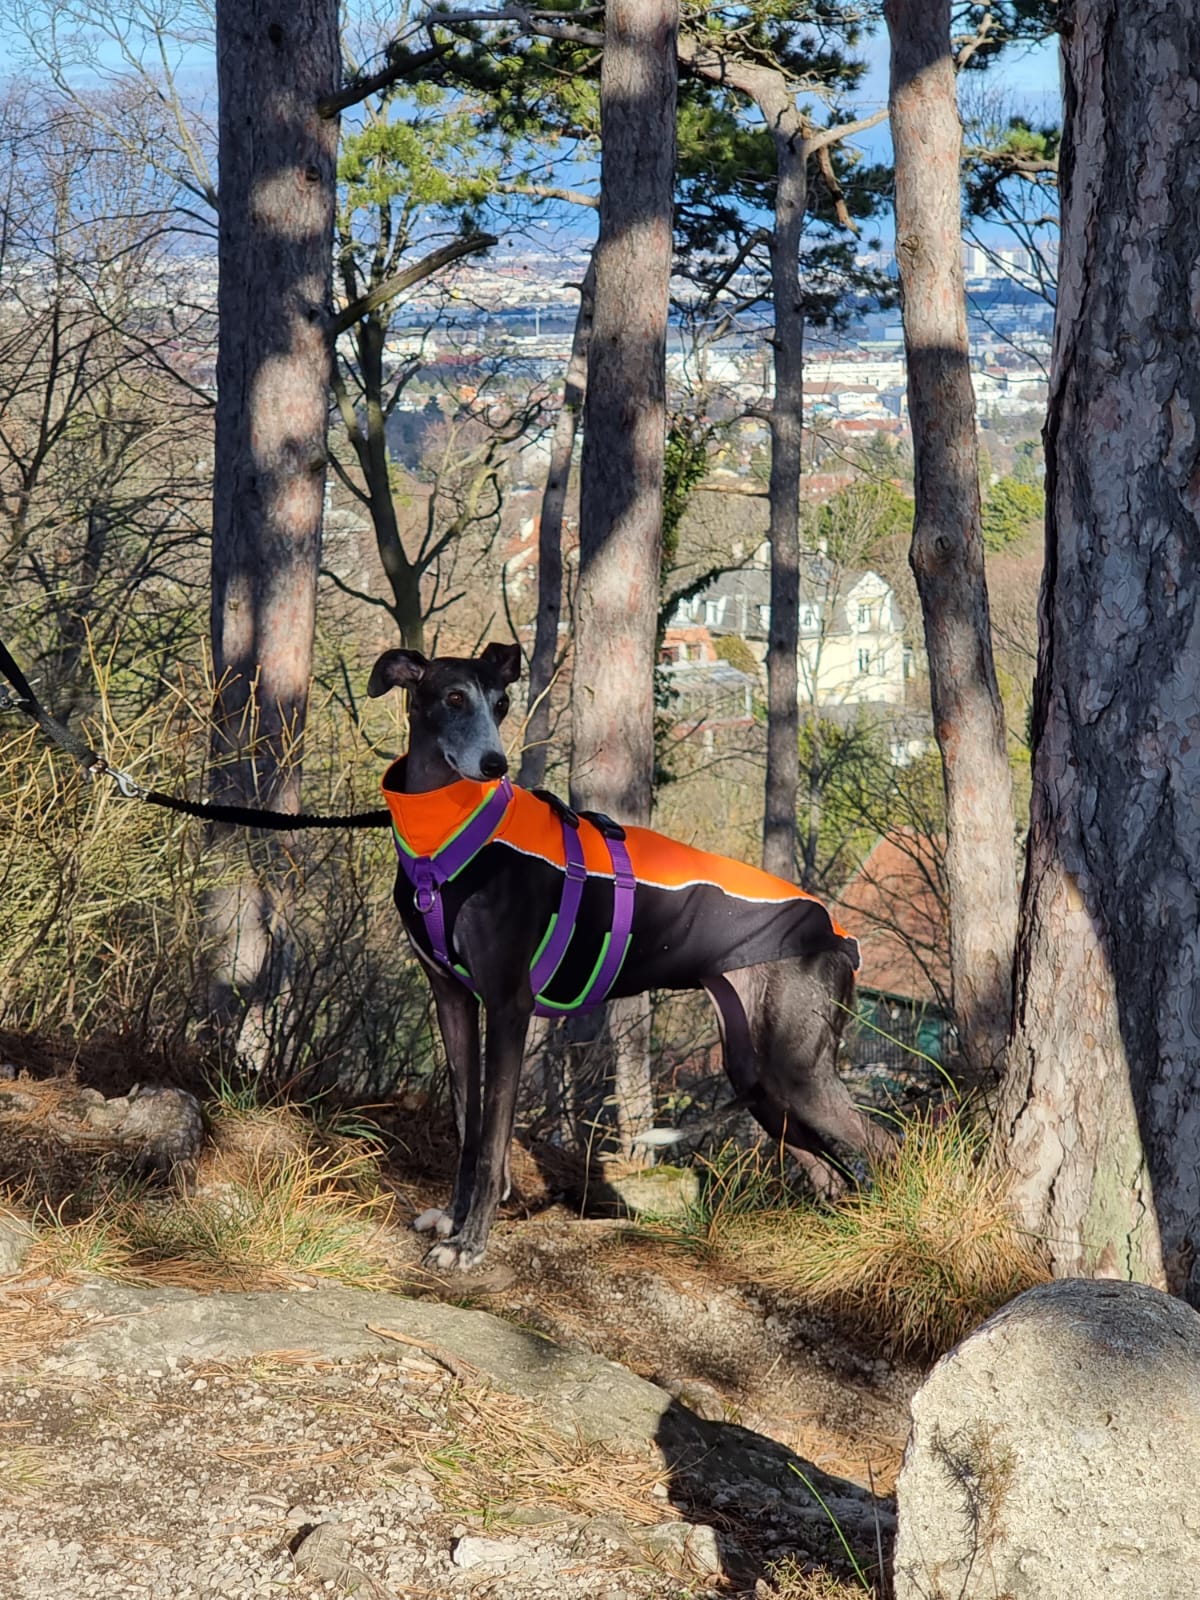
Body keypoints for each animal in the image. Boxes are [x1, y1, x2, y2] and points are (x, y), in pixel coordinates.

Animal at [370, 641, 893, 1270]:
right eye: (452, 698)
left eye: (500, 704)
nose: (495, 765)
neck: (441, 838)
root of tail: (841, 934)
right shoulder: (451, 999)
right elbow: (467, 1125)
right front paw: (451, 1218)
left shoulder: (508, 1006)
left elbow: (493, 1140)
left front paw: (470, 1244)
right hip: (760, 1076)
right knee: (831, 1171)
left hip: (796, 1070)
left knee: (887, 1146)